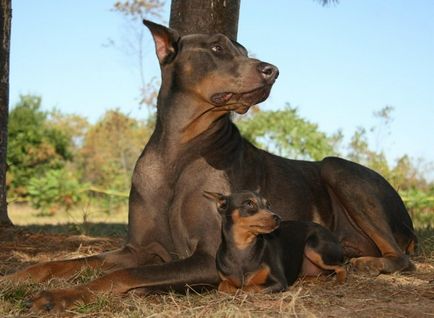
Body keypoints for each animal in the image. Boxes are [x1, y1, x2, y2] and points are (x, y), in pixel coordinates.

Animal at [203, 190, 346, 294]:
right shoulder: (224, 280)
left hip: (313, 247)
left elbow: (248, 287)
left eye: (268, 205)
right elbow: (222, 285)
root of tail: (333, 236)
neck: (243, 247)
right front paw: (231, 288)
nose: (278, 217)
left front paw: (239, 290)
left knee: (341, 266)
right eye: (249, 203)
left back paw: (339, 281)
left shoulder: (279, 283)